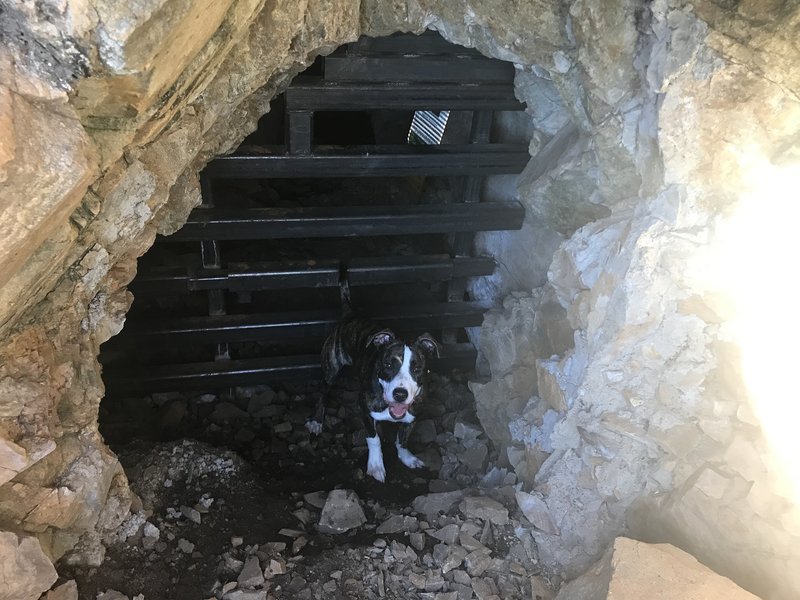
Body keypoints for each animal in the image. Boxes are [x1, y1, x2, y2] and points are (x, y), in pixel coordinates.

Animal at [304, 272, 438, 482]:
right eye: (388, 364)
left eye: (417, 368)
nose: (400, 394)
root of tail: (351, 314)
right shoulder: (364, 409)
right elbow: (373, 439)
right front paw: (376, 465)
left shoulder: (414, 413)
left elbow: (403, 439)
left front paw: (407, 458)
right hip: (331, 369)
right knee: (323, 393)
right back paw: (316, 420)